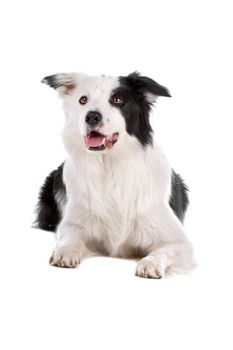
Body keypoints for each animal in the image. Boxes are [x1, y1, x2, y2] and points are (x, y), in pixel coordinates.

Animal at [34, 72, 195, 278]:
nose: (92, 116)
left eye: (118, 100)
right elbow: (69, 237)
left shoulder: (180, 241)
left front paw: (150, 263)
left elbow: (163, 251)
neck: (110, 165)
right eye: (83, 99)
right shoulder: (72, 222)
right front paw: (65, 252)